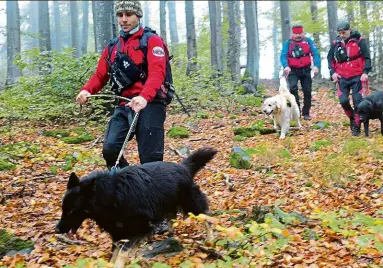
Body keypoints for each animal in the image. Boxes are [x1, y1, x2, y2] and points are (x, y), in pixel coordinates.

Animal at [56, 148, 218, 264]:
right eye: (63, 209)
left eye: (71, 210)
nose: (57, 230)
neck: (111, 195)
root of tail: (182, 167)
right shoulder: (118, 233)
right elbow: (114, 255)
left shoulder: (139, 229)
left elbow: (122, 254)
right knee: (171, 217)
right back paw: (170, 234)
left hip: (191, 203)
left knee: (205, 216)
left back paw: (210, 238)